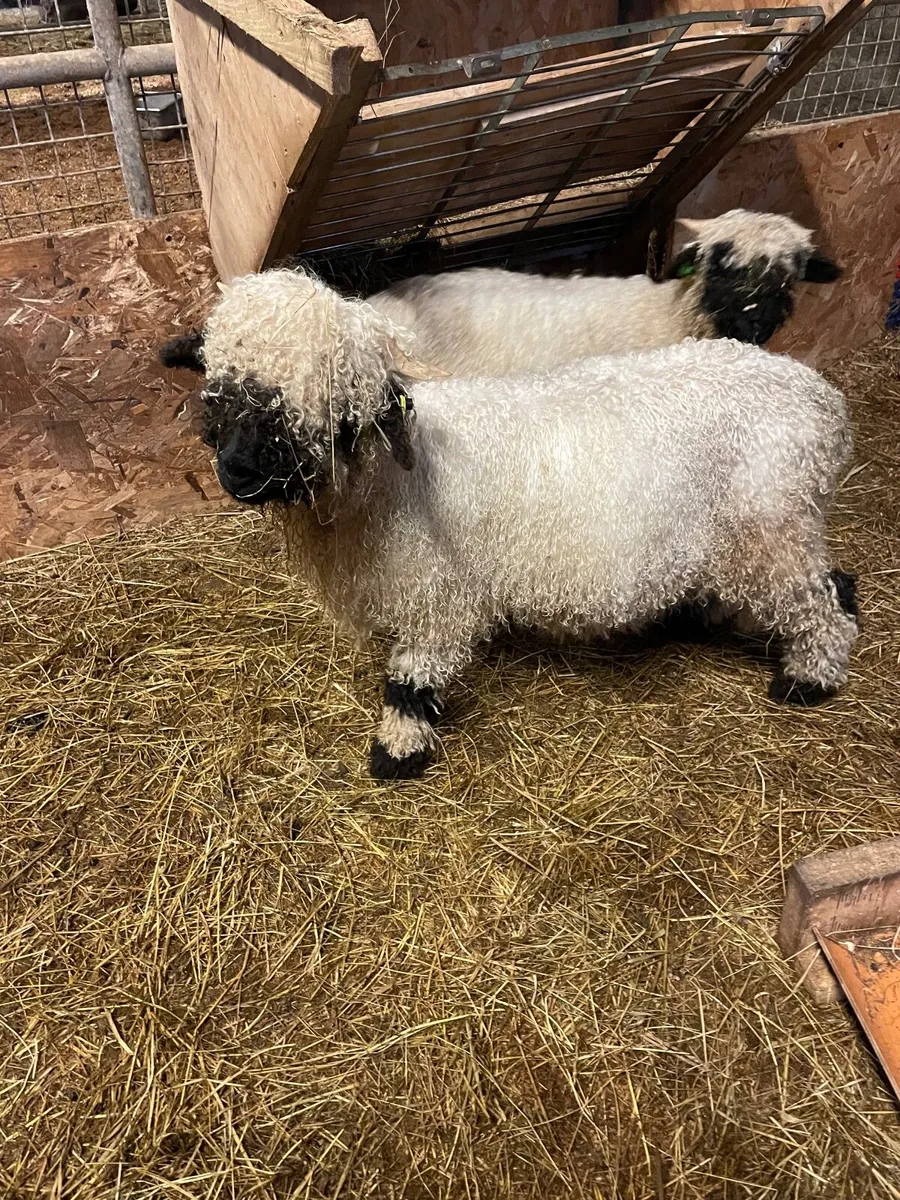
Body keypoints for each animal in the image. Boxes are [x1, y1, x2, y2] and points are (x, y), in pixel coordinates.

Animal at [187, 267, 858, 780]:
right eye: (223, 392)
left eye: (344, 418)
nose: (238, 471)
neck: (388, 487)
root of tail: (823, 401)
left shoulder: (441, 597)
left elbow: (410, 679)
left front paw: (396, 752)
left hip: (773, 530)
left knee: (825, 600)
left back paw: (808, 679)